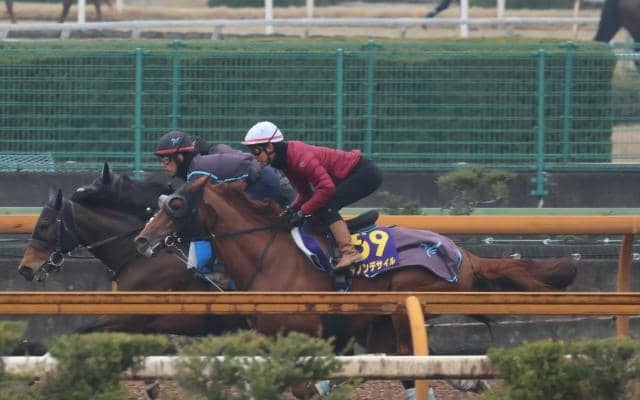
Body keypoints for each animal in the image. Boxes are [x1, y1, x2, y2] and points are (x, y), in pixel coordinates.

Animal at [134, 176, 578, 398]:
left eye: (176, 204)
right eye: (163, 200)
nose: (143, 239)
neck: (271, 256)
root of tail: (463, 254)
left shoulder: (301, 336)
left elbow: (305, 386)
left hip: (403, 304)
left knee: (409, 363)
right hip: (378, 322)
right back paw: (470, 380)